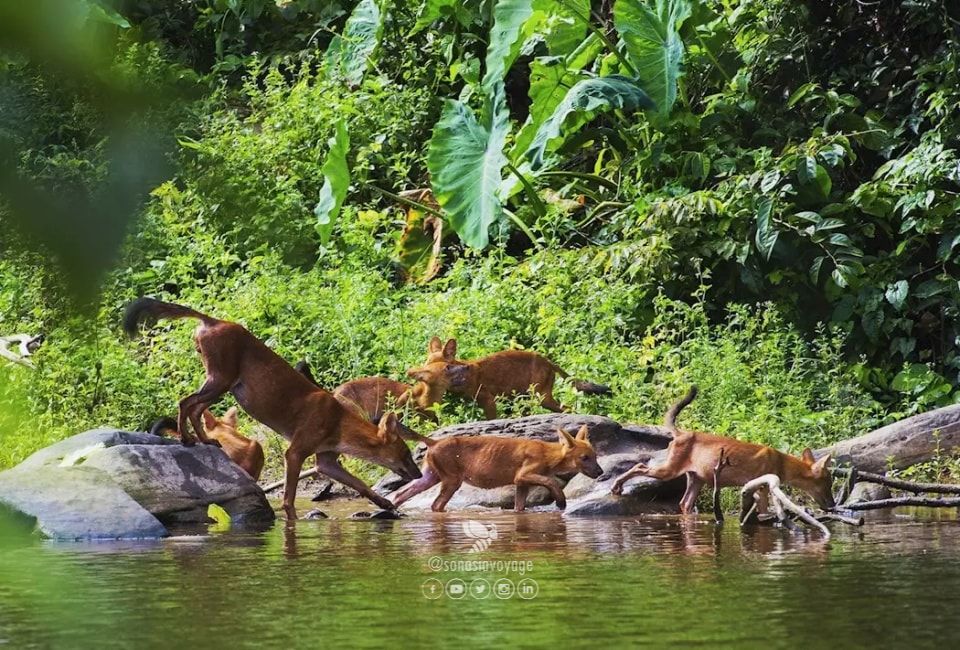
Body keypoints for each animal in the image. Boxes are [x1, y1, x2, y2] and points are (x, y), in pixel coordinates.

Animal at [124, 298, 420, 516]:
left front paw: (385, 503)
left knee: (195, 408)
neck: (339, 423)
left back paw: (207, 441)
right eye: (406, 454)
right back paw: (187, 440)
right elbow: (289, 498)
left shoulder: (325, 461)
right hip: (221, 380)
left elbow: (360, 484)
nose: (418, 474)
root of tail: (213, 319)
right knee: (185, 402)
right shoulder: (296, 453)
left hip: (224, 385)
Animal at [388, 426, 600, 512]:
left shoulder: (521, 484)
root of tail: (434, 441)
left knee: (401, 494)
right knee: (436, 505)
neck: (549, 454)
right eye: (584, 458)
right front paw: (561, 501)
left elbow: (519, 507)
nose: (600, 472)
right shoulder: (522, 475)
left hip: (430, 477)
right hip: (452, 480)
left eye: (596, 456)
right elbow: (551, 481)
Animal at [616, 384, 832, 512]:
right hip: (670, 470)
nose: (832, 504)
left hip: (697, 478)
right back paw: (616, 487)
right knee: (639, 467)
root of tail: (681, 433)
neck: (781, 463)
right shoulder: (761, 487)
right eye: (827, 484)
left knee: (684, 503)